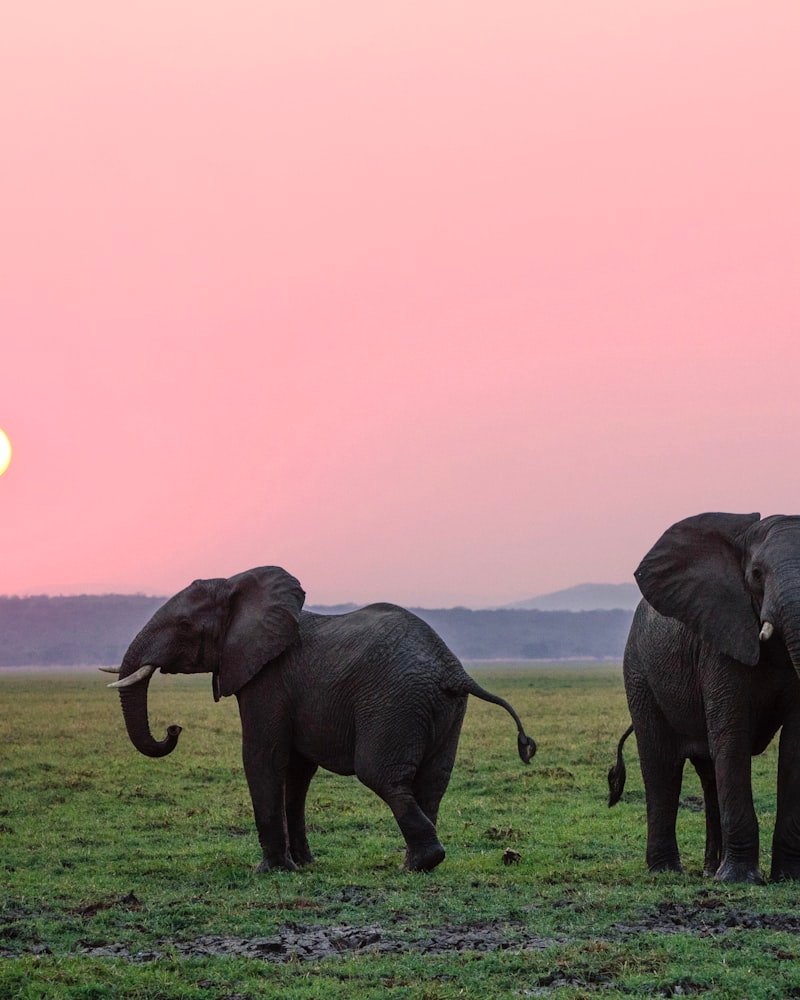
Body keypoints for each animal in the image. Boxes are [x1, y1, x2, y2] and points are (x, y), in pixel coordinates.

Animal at [105, 565, 537, 873]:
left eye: (183, 626)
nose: (173, 728)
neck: (236, 584)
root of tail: (453, 669)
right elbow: (297, 772)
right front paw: (305, 865)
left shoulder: (267, 679)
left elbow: (262, 757)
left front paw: (271, 871)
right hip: (443, 708)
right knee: (433, 781)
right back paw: (416, 864)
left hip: (395, 702)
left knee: (381, 775)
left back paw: (420, 863)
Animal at [608, 511, 800, 883]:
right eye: (756, 574)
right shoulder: (718, 643)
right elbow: (733, 734)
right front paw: (740, 880)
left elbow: (795, 745)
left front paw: (789, 877)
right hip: (639, 673)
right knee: (662, 764)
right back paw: (667, 871)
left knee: (710, 772)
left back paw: (711, 870)